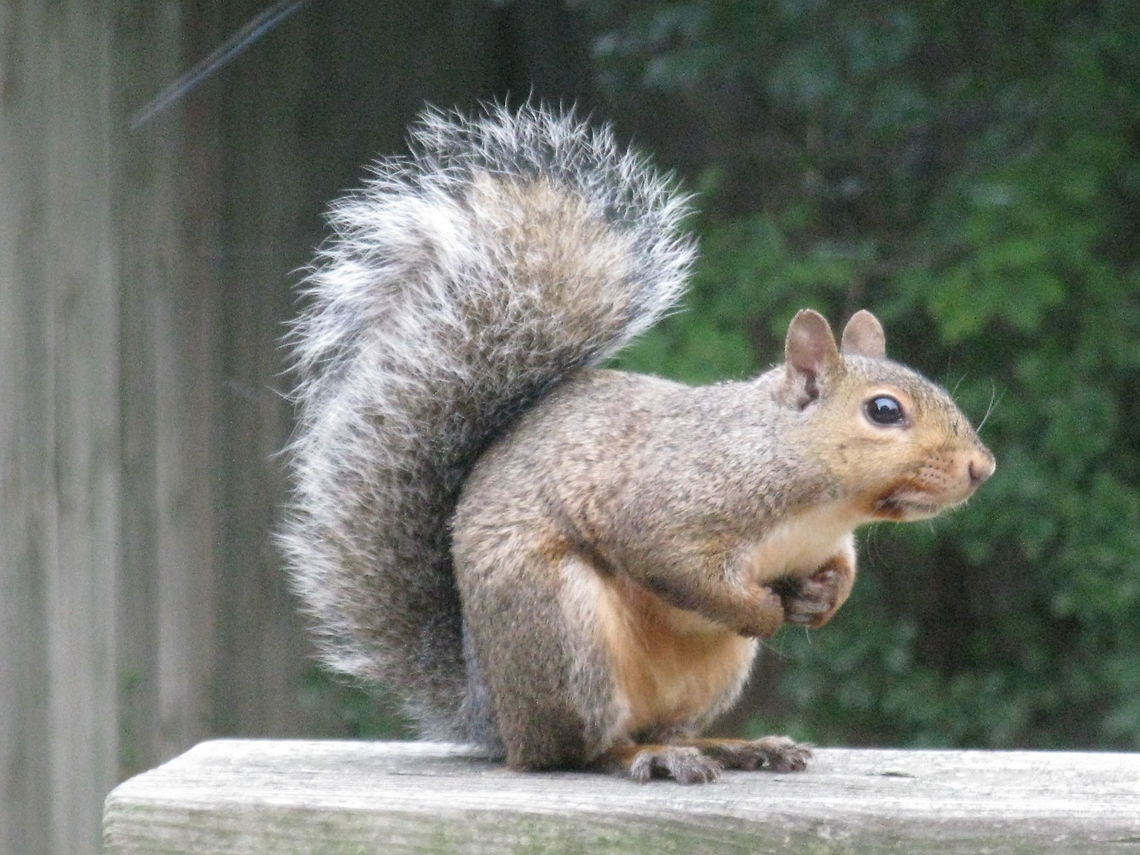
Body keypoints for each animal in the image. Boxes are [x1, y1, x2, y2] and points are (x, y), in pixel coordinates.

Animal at [279, 104, 996, 784]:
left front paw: (824, 601)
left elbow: (840, 568)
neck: (819, 502)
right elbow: (671, 561)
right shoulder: (673, 499)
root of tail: (494, 714)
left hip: (707, 672)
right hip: (564, 630)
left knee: (665, 726)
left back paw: (735, 747)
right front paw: (762, 610)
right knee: (578, 750)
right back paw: (642, 759)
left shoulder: (827, 541)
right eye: (884, 411)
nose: (981, 468)